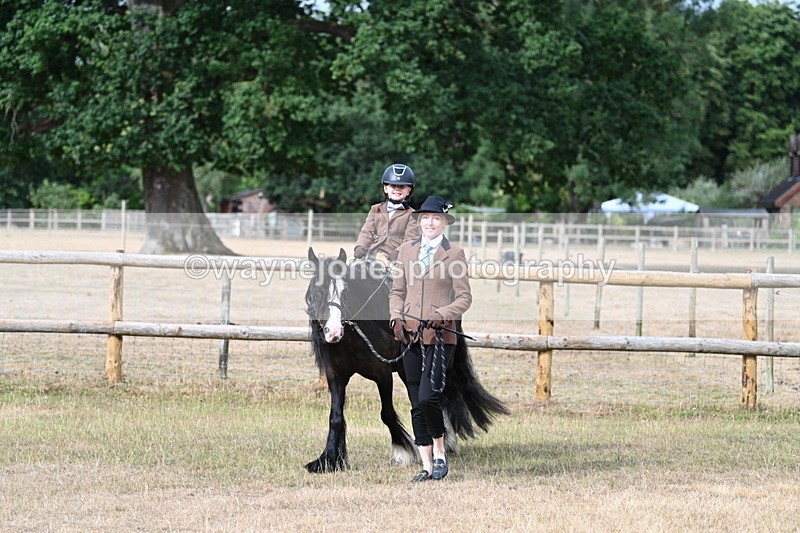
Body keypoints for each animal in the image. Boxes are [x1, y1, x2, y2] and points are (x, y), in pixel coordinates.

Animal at [304, 247, 509, 473]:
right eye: (317, 292)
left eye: (345, 291)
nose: (333, 332)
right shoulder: (336, 376)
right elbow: (335, 416)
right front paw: (329, 459)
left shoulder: (382, 374)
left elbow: (387, 413)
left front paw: (404, 451)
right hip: (406, 370)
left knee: (442, 398)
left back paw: (446, 442)